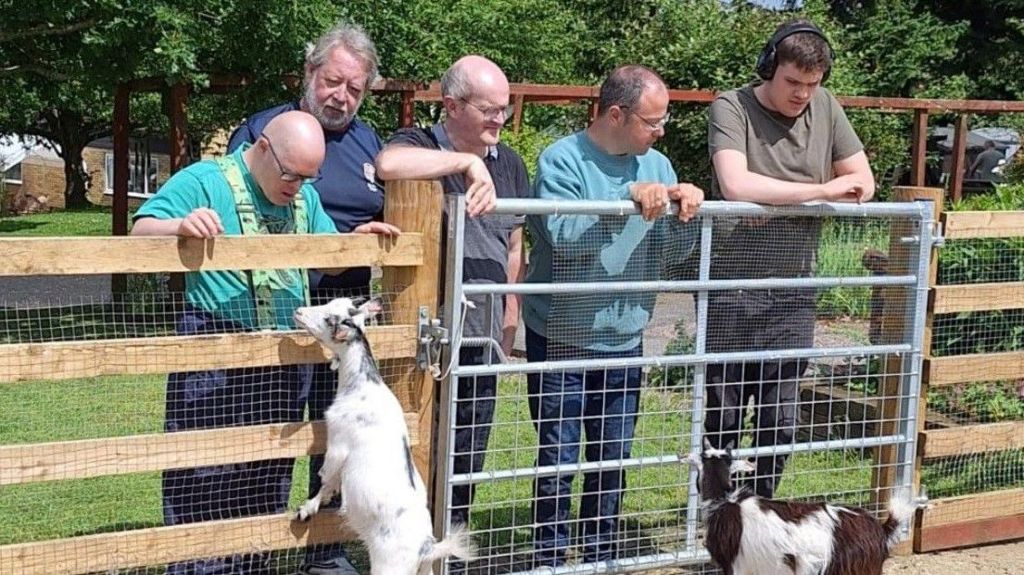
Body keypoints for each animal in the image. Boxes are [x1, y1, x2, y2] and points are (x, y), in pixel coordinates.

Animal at [292, 296, 475, 568]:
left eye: (329, 318)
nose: (299, 311)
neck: (363, 385)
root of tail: (426, 548)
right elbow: (330, 483)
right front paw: (310, 508)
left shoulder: (337, 444)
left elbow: (326, 477)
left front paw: (307, 508)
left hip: (388, 565)